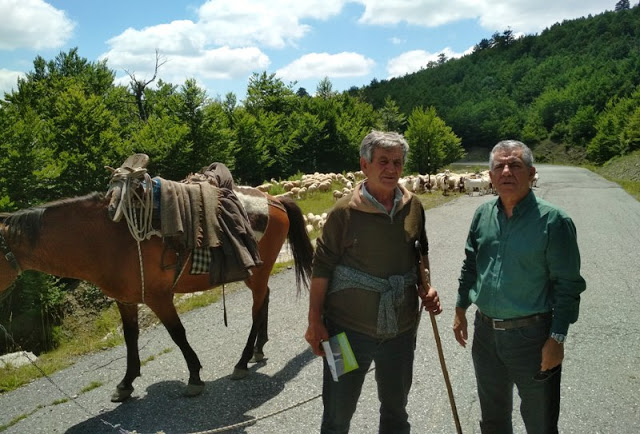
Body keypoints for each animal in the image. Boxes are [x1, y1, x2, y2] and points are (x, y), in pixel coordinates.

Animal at [0, 185, 312, 402]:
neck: (106, 240)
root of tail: (274, 200)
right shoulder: (125, 300)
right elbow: (130, 338)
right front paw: (126, 383)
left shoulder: (159, 298)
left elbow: (177, 334)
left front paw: (194, 377)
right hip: (255, 274)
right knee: (264, 299)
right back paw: (259, 348)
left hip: (257, 272)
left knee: (257, 308)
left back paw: (243, 360)